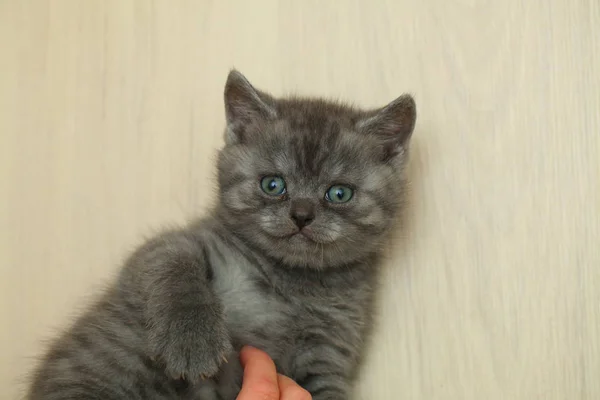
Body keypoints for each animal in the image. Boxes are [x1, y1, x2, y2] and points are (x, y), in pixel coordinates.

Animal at [24, 70, 418, 398]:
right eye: (273, 184)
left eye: (339, 193)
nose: (302, 215)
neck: (290, 283)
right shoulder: (163, 250)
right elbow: (173, 262)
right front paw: (191, 343)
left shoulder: (328, 352)